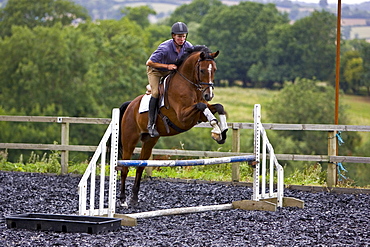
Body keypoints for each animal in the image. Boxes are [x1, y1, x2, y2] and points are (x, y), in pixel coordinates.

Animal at [118, 44, 228, 206]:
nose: (209, 95)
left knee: (140, 167)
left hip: (149, 141)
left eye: (214, 69)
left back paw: (134, 198)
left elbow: (218, 107)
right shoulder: (183, 117)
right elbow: (202, 106)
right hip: (129, 141)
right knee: (125, 168)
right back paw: (122, 200)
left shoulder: (198, 115)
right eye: (202, 70)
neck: (188, 84)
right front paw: (216, 130)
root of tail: (130, 105)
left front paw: (222, 133)